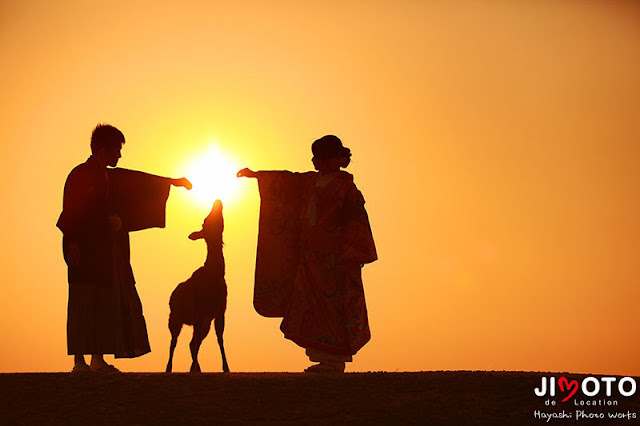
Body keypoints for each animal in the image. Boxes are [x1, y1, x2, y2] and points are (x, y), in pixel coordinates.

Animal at [168, 201, 230, 372]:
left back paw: (194, 368)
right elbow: (196, 344)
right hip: (175, 318)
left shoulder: (219, 312)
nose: (218, 202)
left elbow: (220, 339)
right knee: (175, 343)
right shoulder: (198, 312)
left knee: (192, 343)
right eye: (205, 221)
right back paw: (169, 368)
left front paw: (226, 367)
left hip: (204, 322)